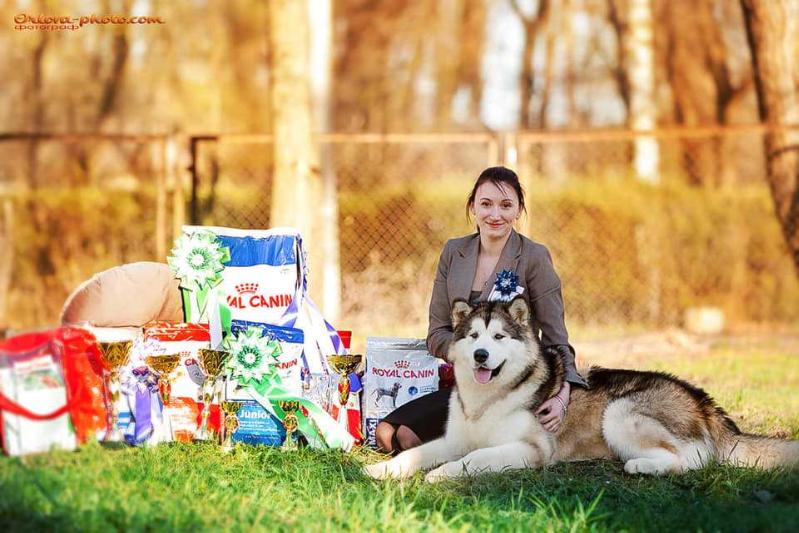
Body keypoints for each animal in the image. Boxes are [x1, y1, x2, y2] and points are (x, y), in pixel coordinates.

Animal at [364, 298, 799, 480]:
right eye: (473, 336)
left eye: (499, 336)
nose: (481, 355)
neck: (489, 400)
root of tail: (702, 399)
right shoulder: (453, 439)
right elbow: (415, 453)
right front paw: (382, 469)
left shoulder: (530, 449)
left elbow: (473, 459)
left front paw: (441, 476)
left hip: (620, 413)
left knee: (695, 460)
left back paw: (641, 466)